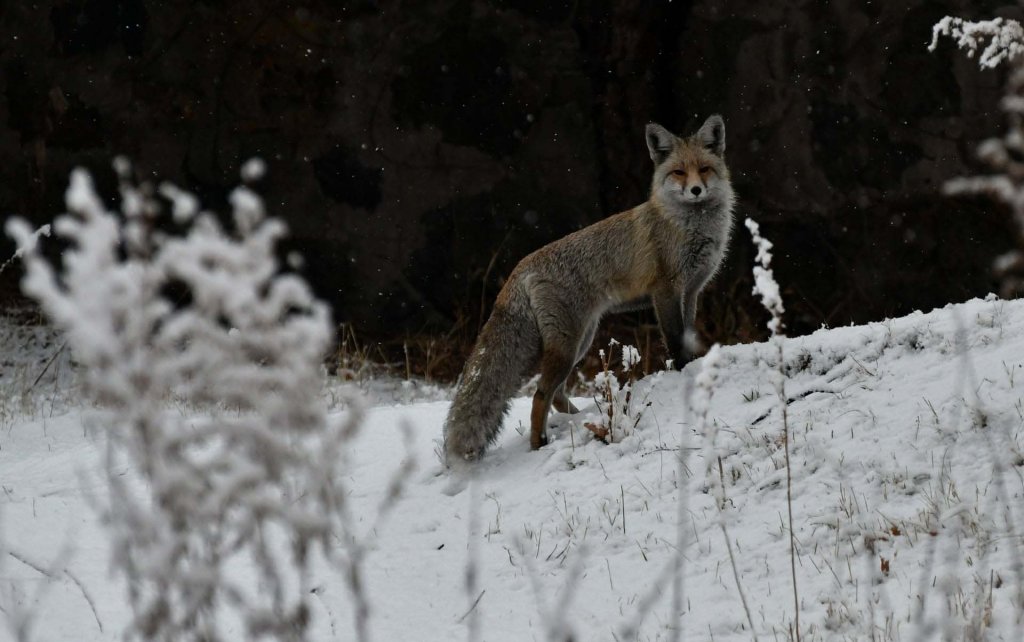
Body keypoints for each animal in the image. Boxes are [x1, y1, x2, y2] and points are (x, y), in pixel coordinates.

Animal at [444, 115, 733, 464]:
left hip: (580, 342)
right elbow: (676, 342)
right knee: (540, 395)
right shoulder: (665, 290)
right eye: (678, 172)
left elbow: (687, 337)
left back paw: (577, 420)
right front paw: (682, 373)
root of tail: (520, 266)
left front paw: (692, 367)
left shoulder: (690, 292)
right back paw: (540, 443)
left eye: (704, 169)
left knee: (556, 395)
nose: (695, 190)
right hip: (569, 344)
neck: (689, 226)